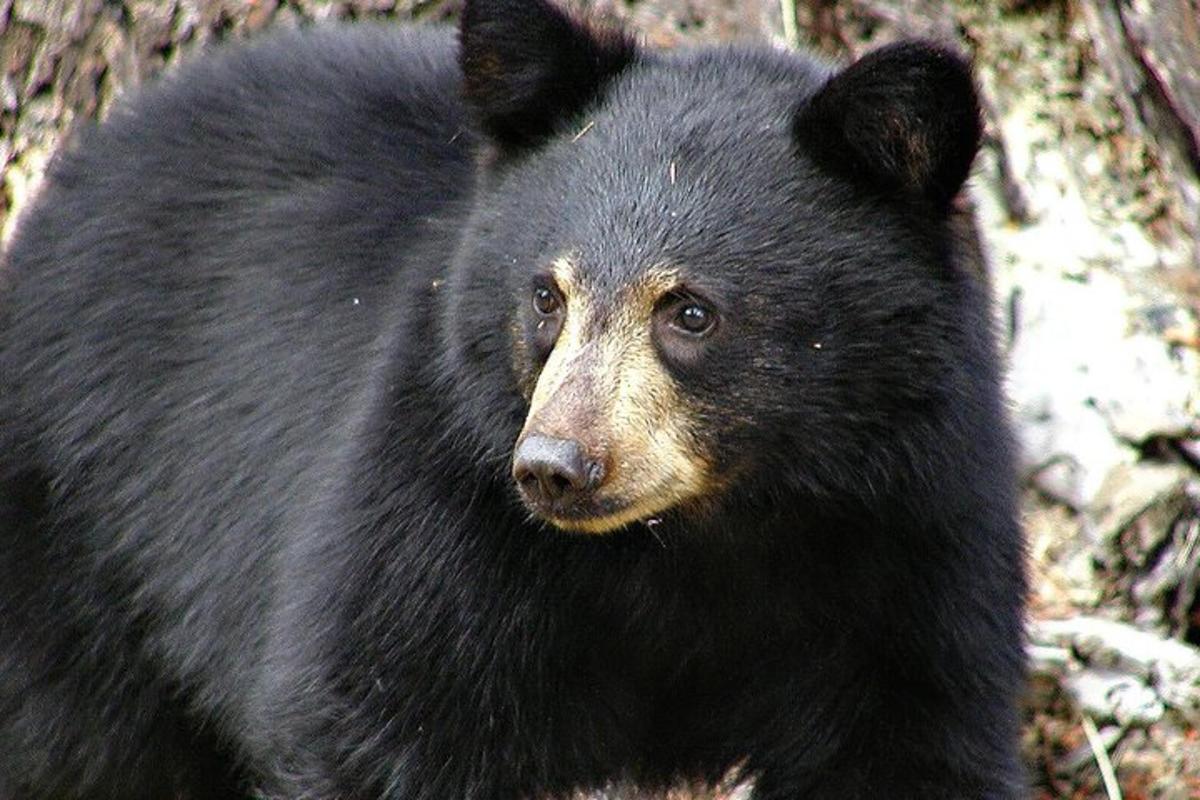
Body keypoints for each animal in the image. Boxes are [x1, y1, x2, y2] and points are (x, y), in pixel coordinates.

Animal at [0, 0, 1027, 796]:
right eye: (547, 295)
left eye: (690, 310)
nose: (555, 468)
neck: (697, 539)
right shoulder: (439, 511)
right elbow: (377, 719)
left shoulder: (913, 534)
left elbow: (918, 740)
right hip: (83, 526)